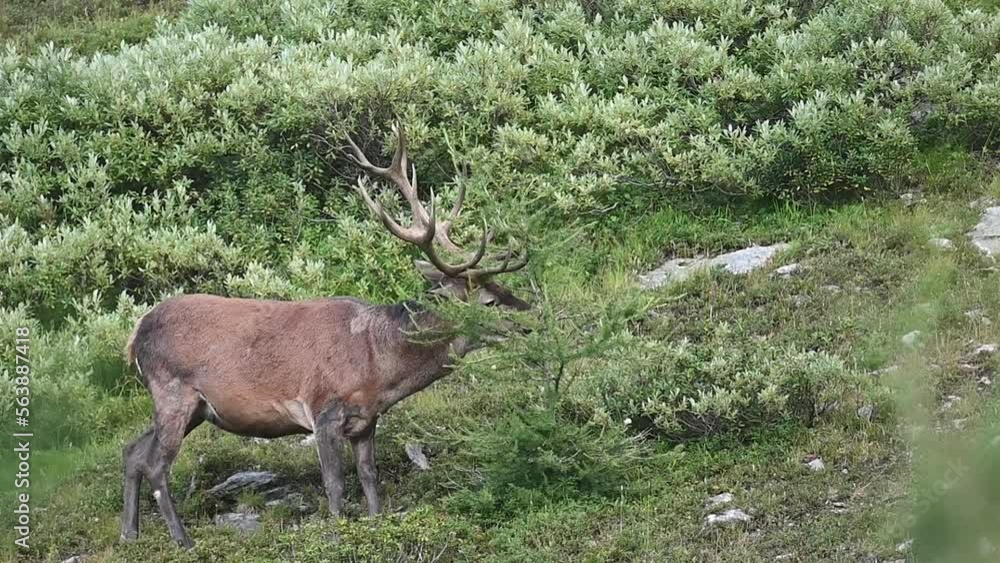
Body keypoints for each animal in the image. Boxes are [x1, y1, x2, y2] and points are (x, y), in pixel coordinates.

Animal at [121, 124, 532, 552]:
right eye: (489, 300)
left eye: (507, 288)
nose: (530, 318)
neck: (379, 366)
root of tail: (136, 334)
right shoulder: (323, 410)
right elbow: (334, 485)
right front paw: (336, 537)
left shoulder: (367, 420)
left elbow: (370, 479)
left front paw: (376, 526)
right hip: (173, 391)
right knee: (156, 464)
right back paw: (181, 539)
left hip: (194, 408)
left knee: (132, 451)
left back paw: (130, 534)